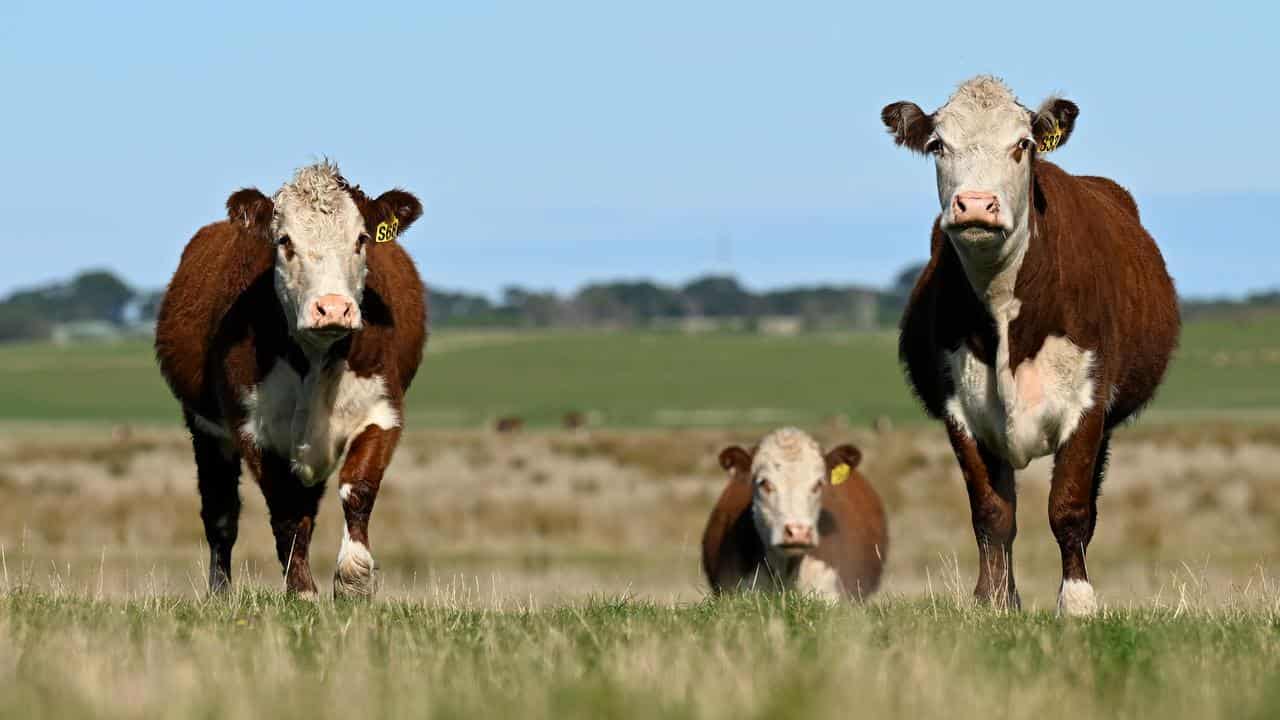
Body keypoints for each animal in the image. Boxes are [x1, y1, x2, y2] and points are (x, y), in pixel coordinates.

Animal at [156, 159, 427, 597]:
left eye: (361, 239)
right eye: (284, 241)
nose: (332, 308)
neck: (315, 358)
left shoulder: (383, 410)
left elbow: (357, 488)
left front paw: (353, 578)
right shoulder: (252, 427)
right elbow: (282, 509)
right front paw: (301, 590)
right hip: (205, 430)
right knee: (221, 514)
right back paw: (220, 591)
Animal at [880, 75, 1177, 614]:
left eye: (1022, 145)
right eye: (937, 145)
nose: (976, 204)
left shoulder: (1088, 403)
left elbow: (1070, 507)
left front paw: (1077, 601)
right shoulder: (961, 409)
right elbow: (992, 513)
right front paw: (995, 600)